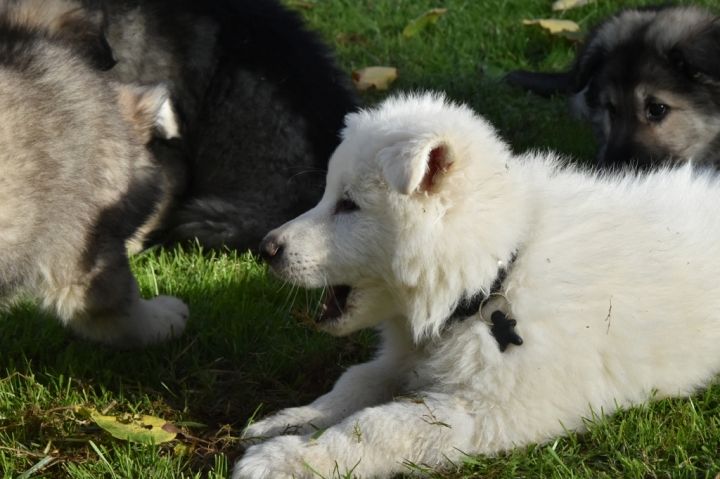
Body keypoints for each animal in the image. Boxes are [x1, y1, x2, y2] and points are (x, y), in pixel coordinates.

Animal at [234, 93, 720, 478]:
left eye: (349, 205)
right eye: (327, 195)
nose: (267, 248)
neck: (493, 280)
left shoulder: (489, 409)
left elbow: (377, 427)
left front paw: (287, 459)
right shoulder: (405, 359)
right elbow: (356, 380)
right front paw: (292, 420)